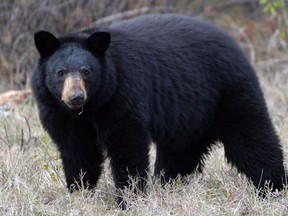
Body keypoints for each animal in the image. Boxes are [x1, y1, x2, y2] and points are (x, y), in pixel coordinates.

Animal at [32, 14, 286, 207]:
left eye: (86, 71)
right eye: (60, 72)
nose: (75, 97)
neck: (89, 108)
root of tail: (234, 44)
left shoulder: (121, 95)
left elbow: (126, 143)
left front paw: (128, 198)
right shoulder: (58, 112)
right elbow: (77, 150)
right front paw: (79, 192)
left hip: (229, 91)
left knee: (252, 138)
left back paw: (273, 186)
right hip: (188, 115)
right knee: (180, 153)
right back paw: (171, 185)